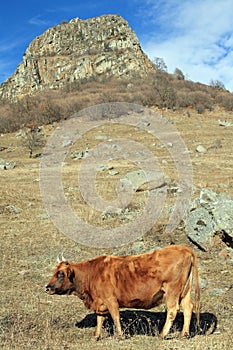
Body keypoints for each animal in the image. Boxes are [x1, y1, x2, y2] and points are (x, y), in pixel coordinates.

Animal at [45, 246, 200, 340]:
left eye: (60, 274)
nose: (47, 288)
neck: (92, 273)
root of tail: (184, 248)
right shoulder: (101, 303)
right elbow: (100, 319)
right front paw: (96, 336)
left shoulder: (111, 300)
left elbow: (115, 316)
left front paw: (119, 335)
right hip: (184, 292)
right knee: (188, 308)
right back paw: (184, 334)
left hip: (172, 291)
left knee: (173, 310)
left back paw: (162, 334)